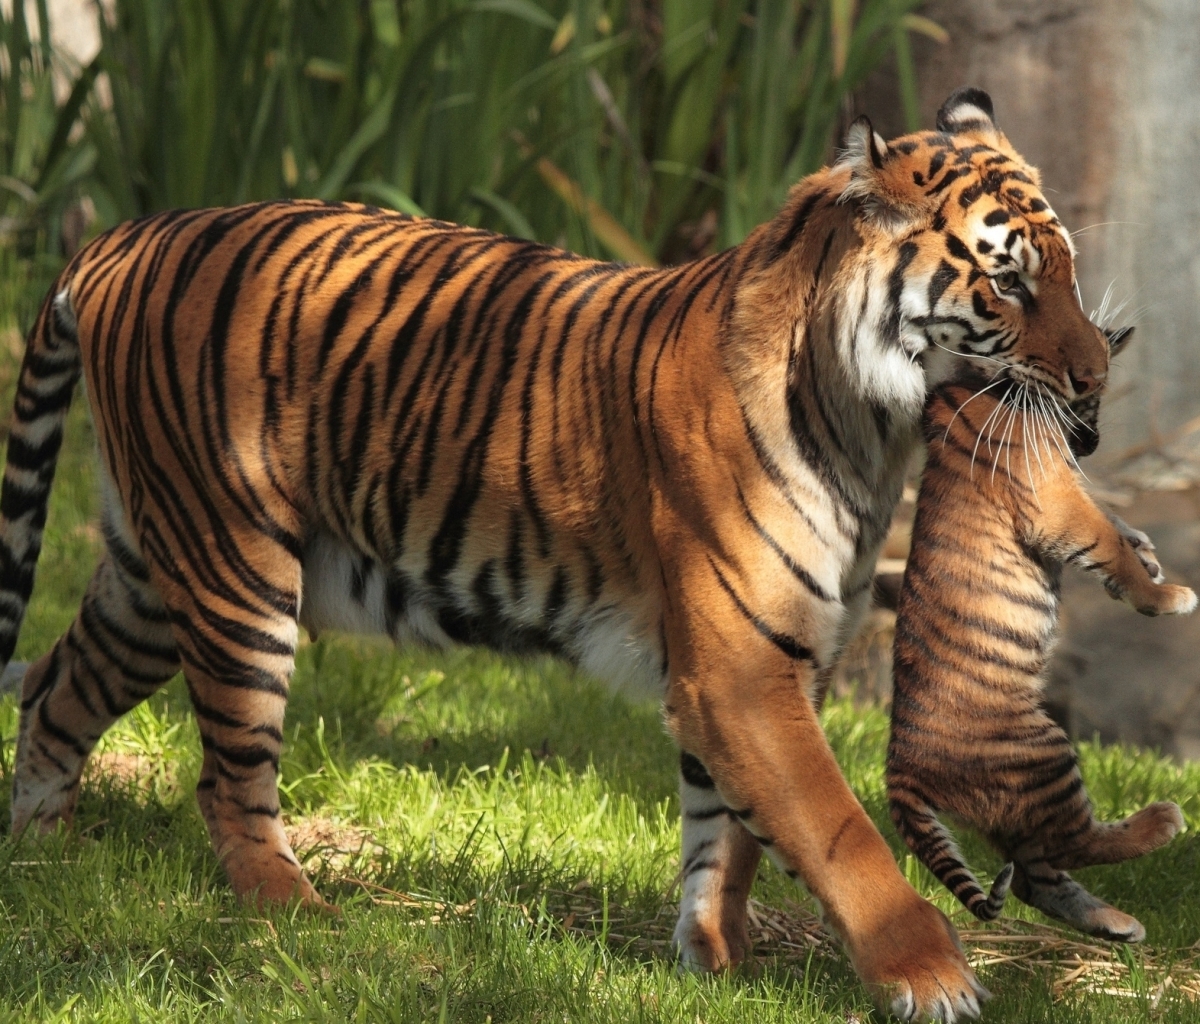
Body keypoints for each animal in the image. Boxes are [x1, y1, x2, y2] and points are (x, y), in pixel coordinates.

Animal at [0, 91, 1104, 1017]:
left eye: (1069, 273)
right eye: (1009, 280)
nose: (1098, 374)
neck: (873, 429)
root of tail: (124, 234)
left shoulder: (761, 658)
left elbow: (728, 834)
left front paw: (715, 964)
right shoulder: (741, 666)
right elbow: (837, 831)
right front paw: (932, 976)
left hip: (156, 572)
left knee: (55, 688)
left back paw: (44, 864)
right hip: (236, 573)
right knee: (224, 779)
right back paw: (297, 915)